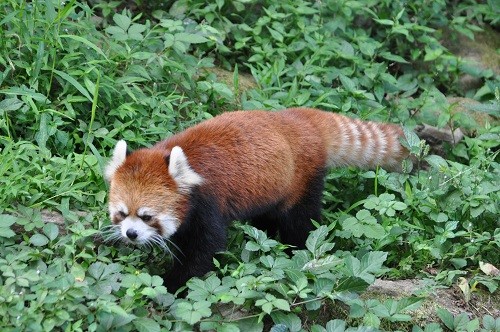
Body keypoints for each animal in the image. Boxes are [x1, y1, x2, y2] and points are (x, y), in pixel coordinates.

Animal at [103, 107, 408, 290]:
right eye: (121, 213)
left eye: (147, 216)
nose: (130, 234)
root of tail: (301, 119)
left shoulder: (208, 203)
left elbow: (206, 248)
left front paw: (171, 284)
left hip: (299, 180)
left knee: (301, 222)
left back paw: (297, 250)